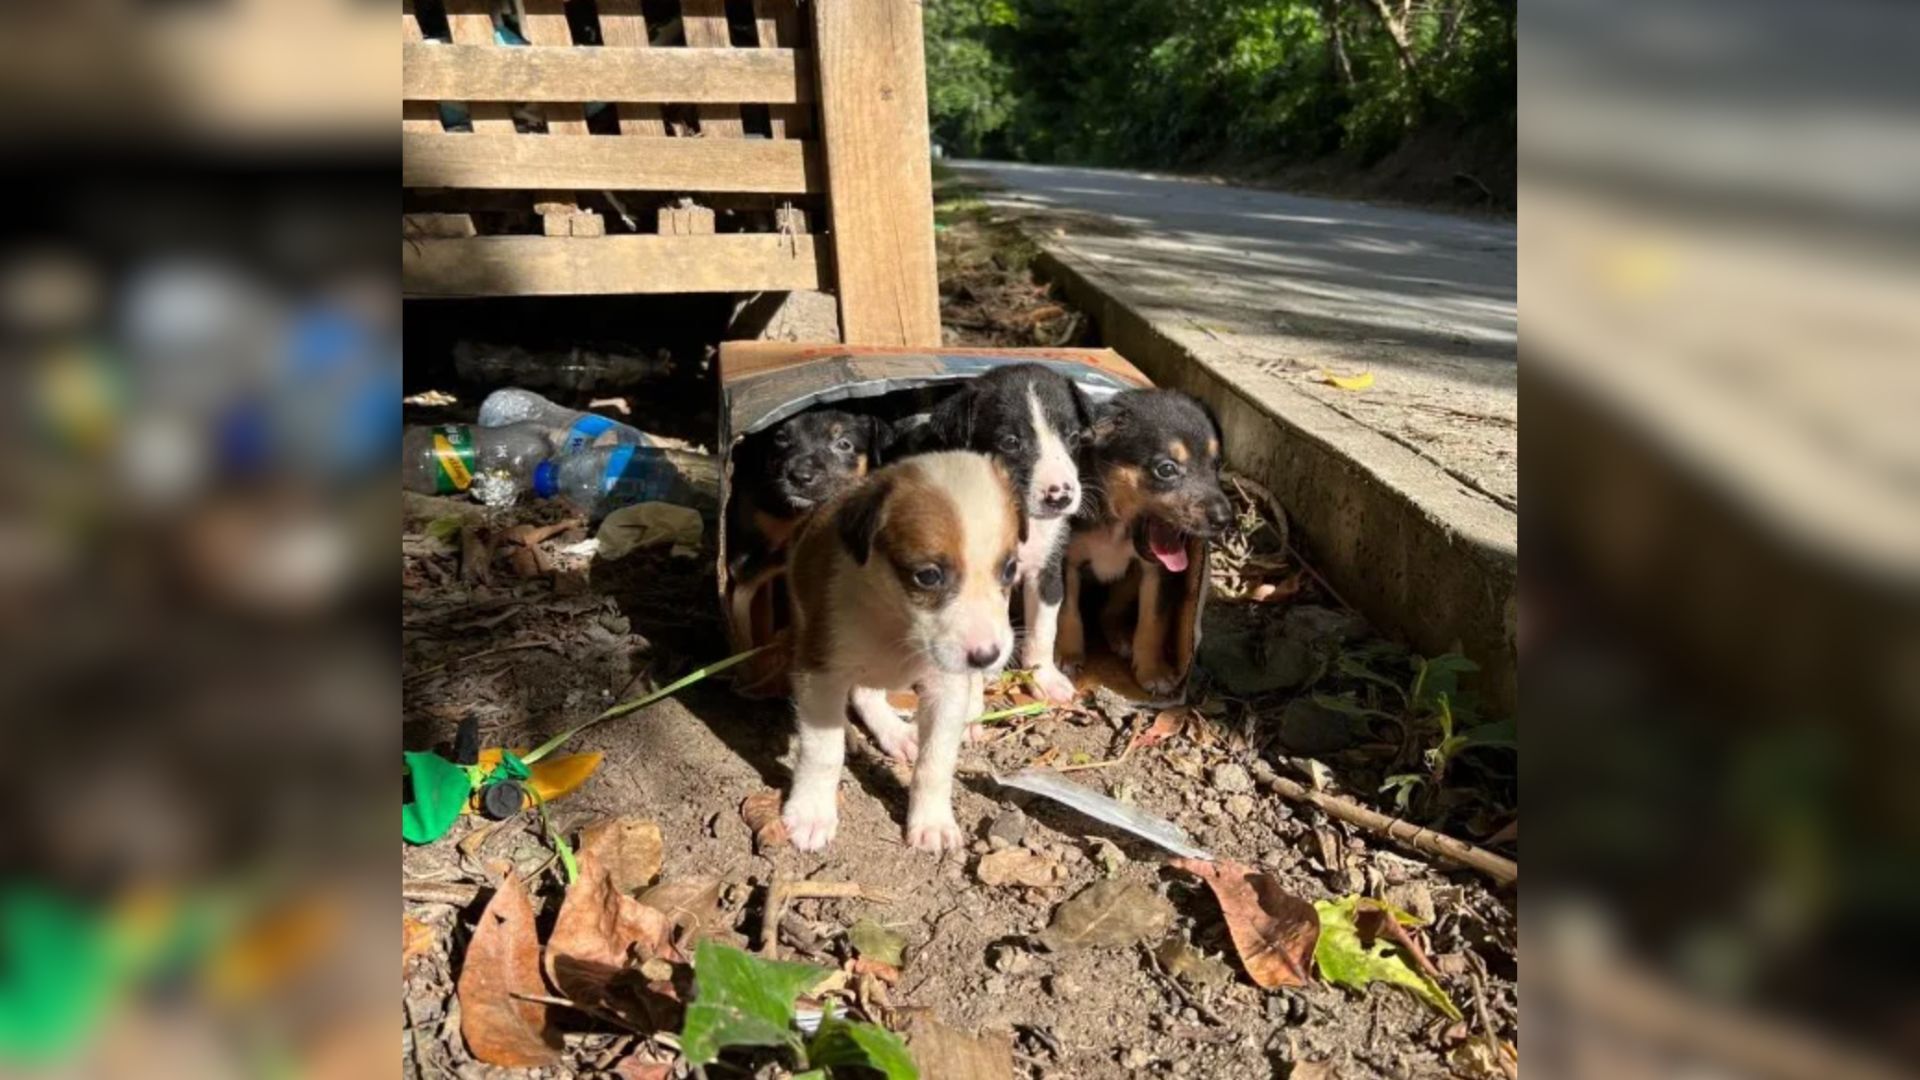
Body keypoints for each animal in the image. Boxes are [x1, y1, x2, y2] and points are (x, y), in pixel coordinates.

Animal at [898, 359, 1098, 699]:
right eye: (1010, 443)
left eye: (1073, 437)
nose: (1061, 496)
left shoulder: (1046, 571)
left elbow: (1043, 630)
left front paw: (1045, 678)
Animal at [1067, 390, 1228, 691]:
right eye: (1166, 469)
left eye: (1215, 465)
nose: (1225, 519)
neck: (1117, 526)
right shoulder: (1064, 563)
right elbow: (1066, 610)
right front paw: (1066, 655)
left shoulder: (1158, 574)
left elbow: (1152, 623)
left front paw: (1153, 672)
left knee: (1110, 611)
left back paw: (1121, 638)